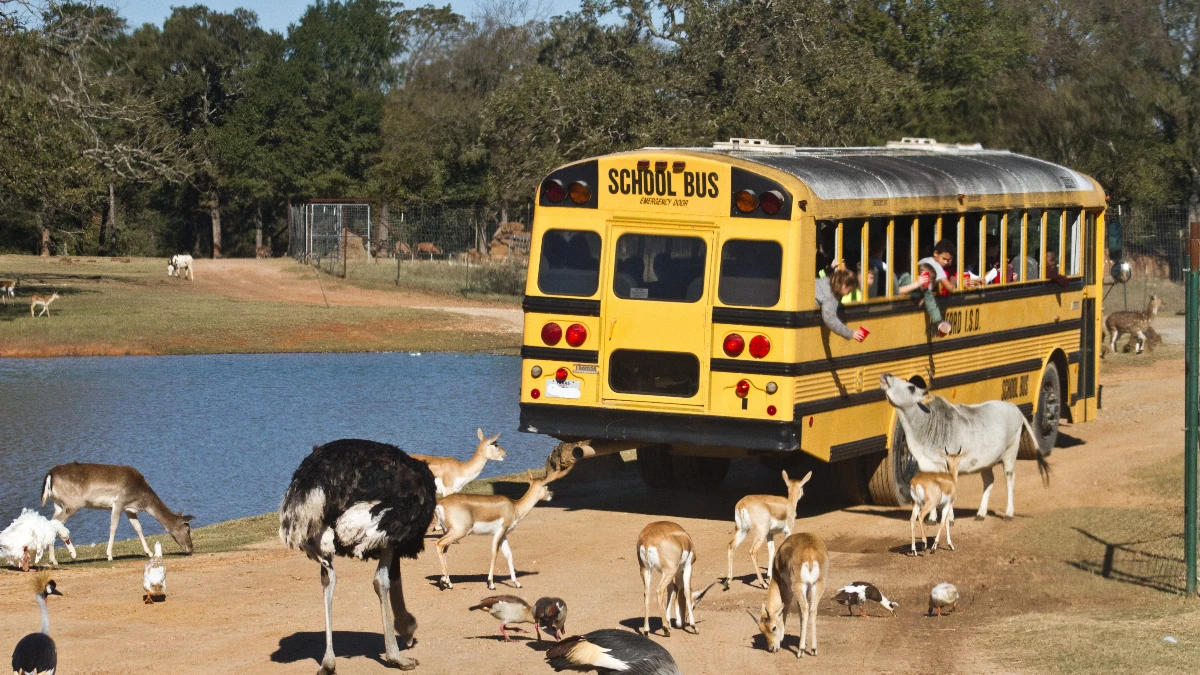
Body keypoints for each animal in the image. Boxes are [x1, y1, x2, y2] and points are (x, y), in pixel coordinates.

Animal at [39, 458, 195, 559]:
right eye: (187, 530)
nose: (191, 548)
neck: (141, 499)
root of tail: (49, 475)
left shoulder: (129, 509)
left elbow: (138, 528)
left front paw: (149, 552)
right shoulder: (119, 502)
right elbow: (113, 527)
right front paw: (109, 555)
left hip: (58, 505)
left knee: (51, 523)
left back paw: (53, 561)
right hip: (72, 503)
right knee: (55, 524)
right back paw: (72, 554)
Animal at [432, 466, 566, 586]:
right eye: (546, 486)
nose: (552, 495)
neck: (515, 507)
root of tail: (440, 504)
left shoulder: (504, 534)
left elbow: (508, 554)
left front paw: (516, 582)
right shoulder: (499, 531)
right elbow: (494, 553)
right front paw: (491, 583)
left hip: (448, 531)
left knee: (444, 550)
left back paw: (446, 580)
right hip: (459, 532)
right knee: (438, 544)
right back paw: (447, 583)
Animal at [878, 369, 1046, 516]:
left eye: (911, 387)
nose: (886, 375)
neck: (927, 422)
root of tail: (1015, 409)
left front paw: (949, 518)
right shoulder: (927, 466)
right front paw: (932, 518)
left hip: (1010, 453)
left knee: (1010, 478)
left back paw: (1009, 513)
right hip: (986, 462)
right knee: (989, 480)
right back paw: (981, 513)